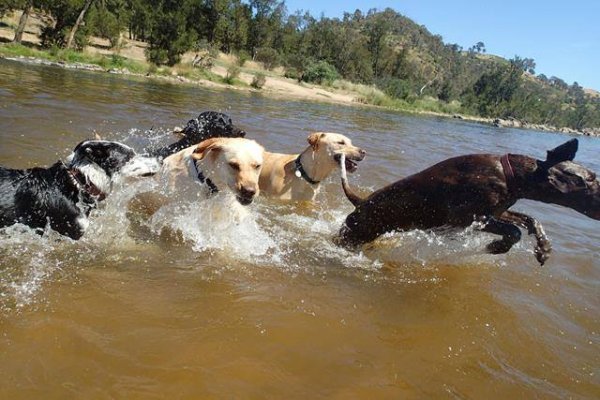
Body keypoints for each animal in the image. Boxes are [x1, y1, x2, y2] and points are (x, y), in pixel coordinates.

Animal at [338, 138, 600, 266]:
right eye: (591, 180)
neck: (512, 176)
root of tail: (360, 201)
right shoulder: (466, 218)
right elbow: (514, 231)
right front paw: (495, 246)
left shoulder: (498, 212)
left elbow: (531, 220)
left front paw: (544, 248)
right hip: (353, 234)